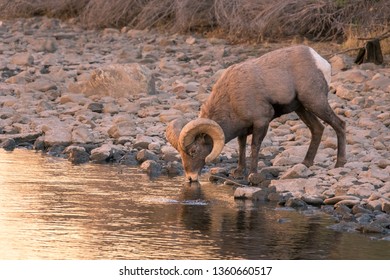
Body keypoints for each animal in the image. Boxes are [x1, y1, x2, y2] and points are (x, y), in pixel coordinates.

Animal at [166, 45, 346, 182]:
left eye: (193, 151)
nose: (190, 178)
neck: (232, 97)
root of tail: (319, 61)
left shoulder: (261, 122)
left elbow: (254, 146)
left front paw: (252, 173)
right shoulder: (243, 129)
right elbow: (242, 146)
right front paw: (239, 172)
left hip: (315, 102)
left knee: (339, 124)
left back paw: (340, 164)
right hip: (301, 108)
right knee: (317, 129)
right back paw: (306, 163)